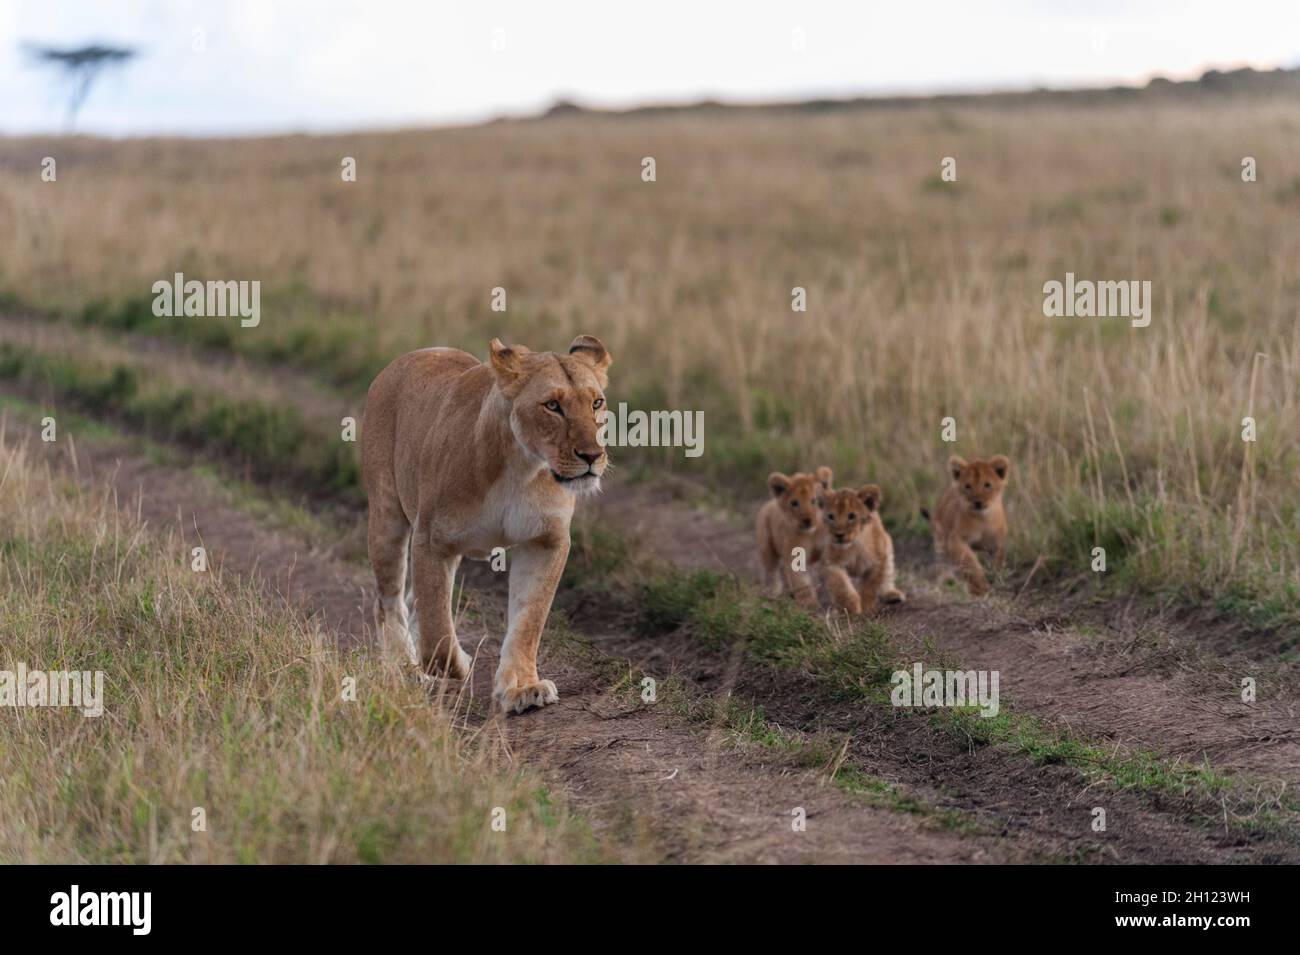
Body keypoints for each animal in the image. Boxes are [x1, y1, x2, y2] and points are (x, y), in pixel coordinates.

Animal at [361, 334, 611, 715]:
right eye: (552, 405)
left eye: (597, 403)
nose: (592, 456)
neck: (522, 467)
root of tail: (413, 354)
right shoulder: (431, 541)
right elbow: (437, 632)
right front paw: (459, 662)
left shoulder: (546, 542)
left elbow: (528, 621)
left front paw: (522, 688)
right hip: (387, 514)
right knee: (388, 600)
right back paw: (405, 667)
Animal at [756, 466, 832, 608]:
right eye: (794, 503)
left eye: (814, 501)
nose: (807, 520)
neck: (811, 534)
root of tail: (769, 503)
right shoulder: (795, 553)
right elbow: (801, 581)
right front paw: (809, 603)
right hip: (767, 548)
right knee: (771, 571)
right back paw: (773, 592)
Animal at [818, 485, 905, 614]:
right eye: (831, 517)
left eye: (851, 516)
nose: (839, 535)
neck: (854, 545)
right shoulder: (832, 563)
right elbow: (841, 586)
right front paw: (850, 608)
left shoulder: (878, 561)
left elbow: (870, 586)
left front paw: (866, 607)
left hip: (887, 547)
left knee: (887, 574)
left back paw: (892, 595)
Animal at [924, 454, 1010, 597]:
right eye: (968, 486)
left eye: (987, 485)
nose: (978, 502)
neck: (982, 519)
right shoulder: (955, 540)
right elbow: (970, 562)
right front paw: (980, 587)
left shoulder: (997, 543)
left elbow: (997, 563)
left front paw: (995, 579)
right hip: (941, 542)